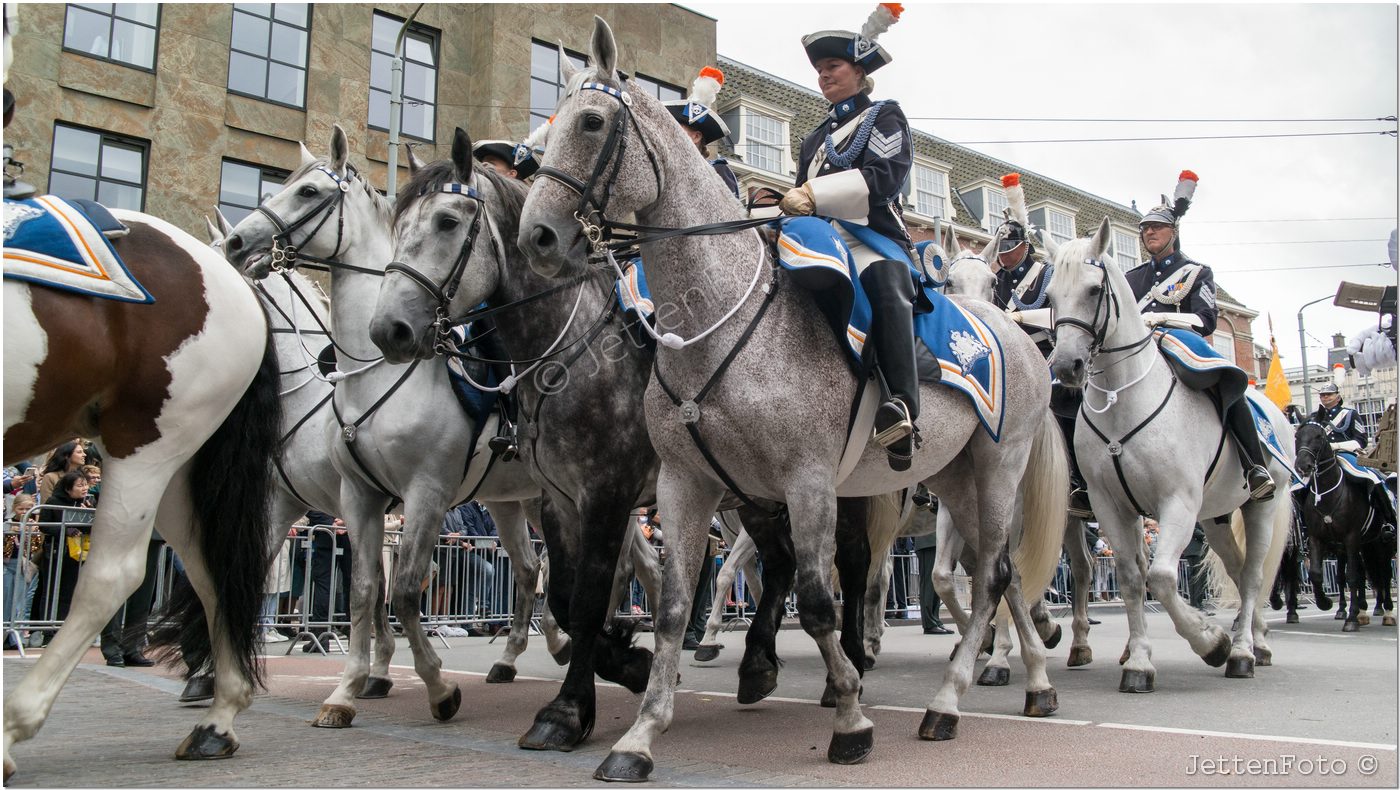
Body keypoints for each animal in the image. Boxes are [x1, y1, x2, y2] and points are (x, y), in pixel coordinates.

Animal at [3, 211, 284, 784]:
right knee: (211, 572)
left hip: (146, 444)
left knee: (113, 576)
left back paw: (15, 724)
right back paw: (216, 720)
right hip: (177, 467)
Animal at [515, 15, 1069, 778]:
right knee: (1000, 574)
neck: (714, 321)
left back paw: (950, 699)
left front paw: (851, 720)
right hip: (953, 477)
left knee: (989, 577)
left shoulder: (804, 480)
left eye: (592, 122)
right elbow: (671, 606)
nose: (537, 235)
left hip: (997, 469)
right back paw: (1025, 682)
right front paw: (640, 734)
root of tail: (1020, 335)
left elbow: (816, 600)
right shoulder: (684, 483)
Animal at [1041, 215, 1288, 691]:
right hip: (1216, 515)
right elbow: (1133, 578)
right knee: (1236, 569)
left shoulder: (1177, 502)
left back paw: (1242, 651)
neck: (1123, 399)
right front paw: (1139, 661)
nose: (1065, 367)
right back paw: (1257, 641)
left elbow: (1161, 576)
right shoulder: (1112, 505)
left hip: (1261, 504)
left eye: (1094, 290)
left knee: (1252, 576)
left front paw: (1210, 642)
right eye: (1050, 297)